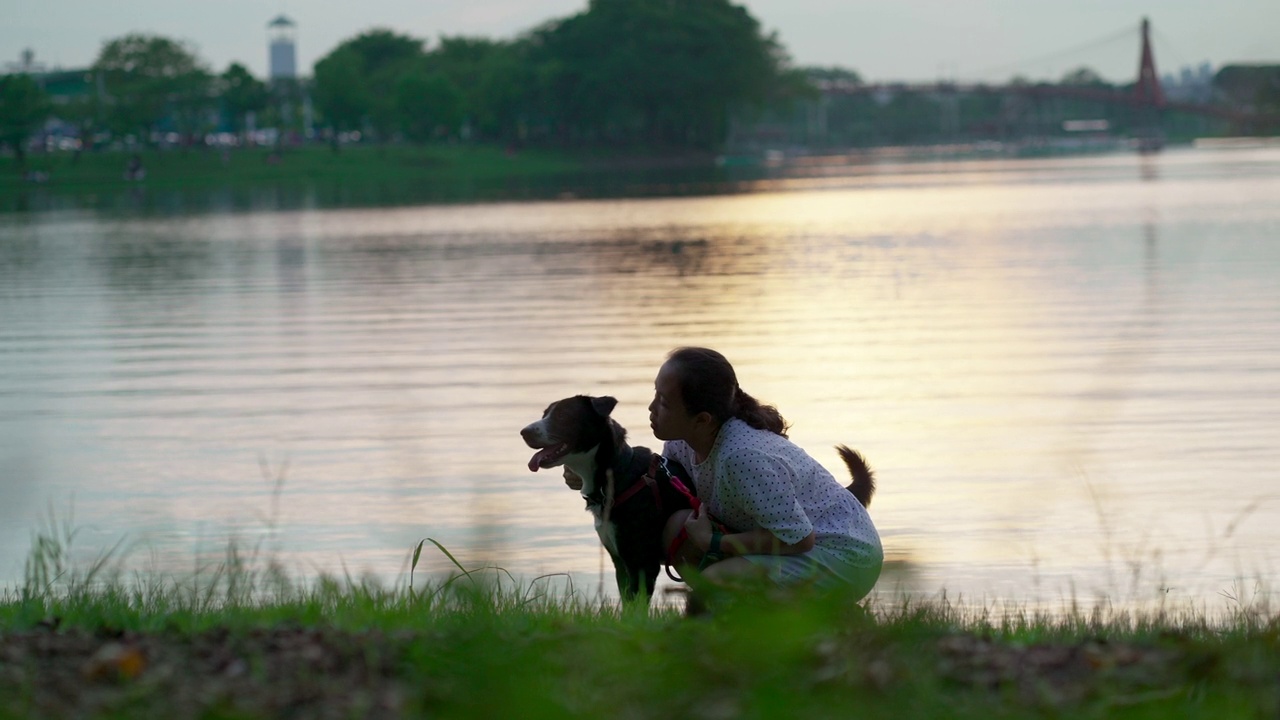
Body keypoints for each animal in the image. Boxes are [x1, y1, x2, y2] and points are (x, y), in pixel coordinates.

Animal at [517, 394, 691, 602]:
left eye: (562, 416)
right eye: (544, 414)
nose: (524, 432)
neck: (618, 474)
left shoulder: (642, 563)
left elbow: (637, 605)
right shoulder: (620, 562)